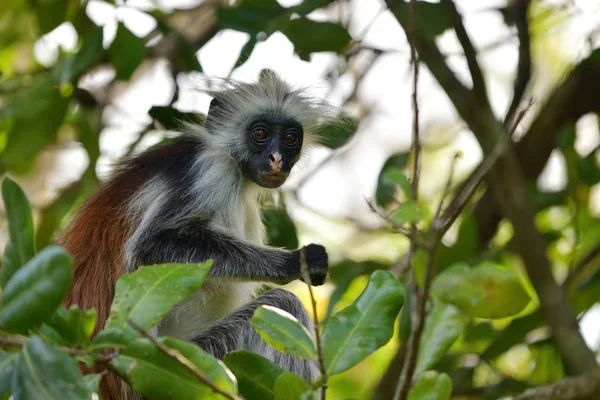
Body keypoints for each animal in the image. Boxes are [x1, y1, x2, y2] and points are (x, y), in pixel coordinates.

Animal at [62, 72, 328, 400]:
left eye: (291, 138)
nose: (276, 158)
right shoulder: (206, 170)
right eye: (260, 134)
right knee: (282, 305)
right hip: (185, 368)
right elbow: (151, 245)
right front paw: (296, 261)